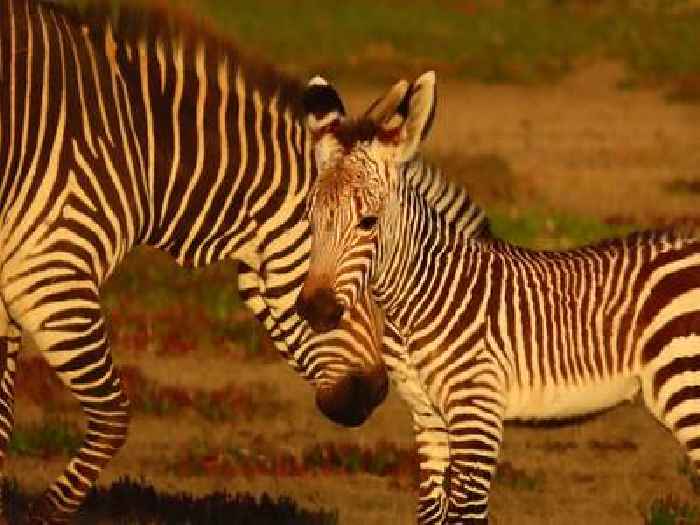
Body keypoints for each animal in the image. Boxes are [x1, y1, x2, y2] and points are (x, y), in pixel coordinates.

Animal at [298, 70, 700, 524]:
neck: (421, 299)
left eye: (368, 222)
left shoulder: (478, 413)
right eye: (310, 217)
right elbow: (431, 514)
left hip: (686, 386)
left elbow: (467, 514)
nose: (315, 309)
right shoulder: (428, 419)